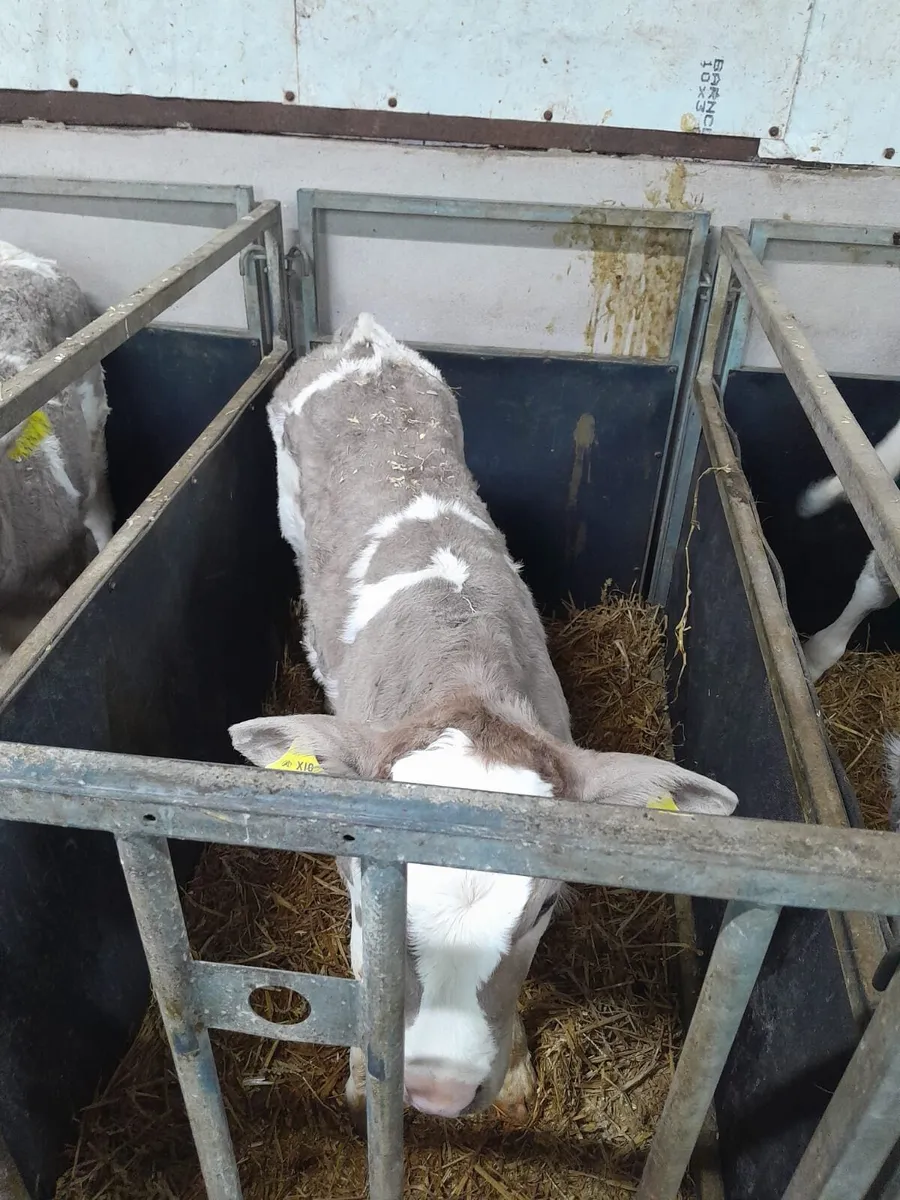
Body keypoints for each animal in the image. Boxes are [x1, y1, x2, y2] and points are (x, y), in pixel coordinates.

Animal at [229, 313, 738, 1126]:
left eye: (545, 907)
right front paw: (360, 1075)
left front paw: (519, 1068)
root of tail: (362, 340)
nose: (437, 1090)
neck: (460, 673)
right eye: (376, 890)